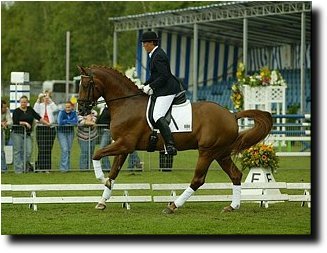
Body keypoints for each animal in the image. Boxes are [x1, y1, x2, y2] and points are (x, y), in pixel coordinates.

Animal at [77, 64, 274, 213]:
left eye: (86, 85)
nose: (81, 110)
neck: (127, 103)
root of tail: (232, 115)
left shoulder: (125, 144)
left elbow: (96, 154)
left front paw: (101, 179)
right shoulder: (123, 147)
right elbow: (113, 172)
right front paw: (102, 200)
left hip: (207, 152)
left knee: (198, 180)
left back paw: (173, 206)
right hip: (221, 153)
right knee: (235, 175)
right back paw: (232, 206)